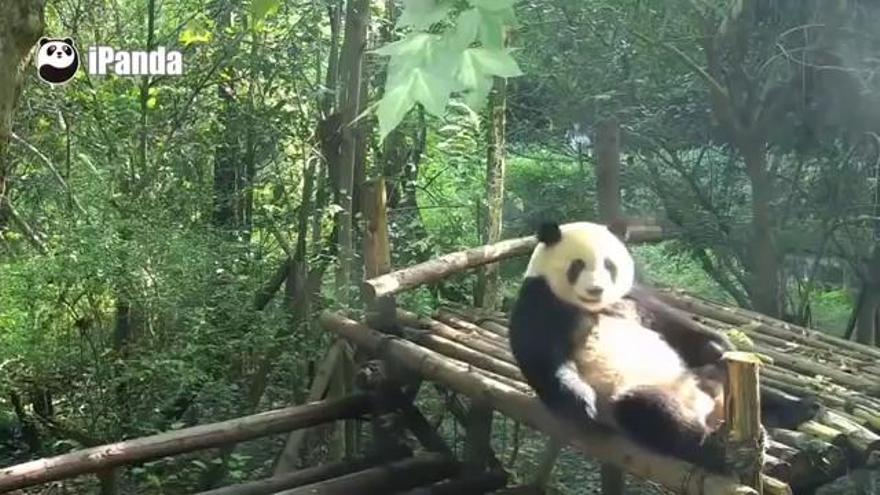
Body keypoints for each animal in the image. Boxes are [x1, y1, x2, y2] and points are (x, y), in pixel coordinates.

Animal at [508, 220, 819, 473]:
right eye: (578, 265)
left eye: (609, 265)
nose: (596, 289)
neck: (591, 306)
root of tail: (711, 410)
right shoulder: (540, 302)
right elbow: (541, 358)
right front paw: (581, 401)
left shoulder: (633, 298)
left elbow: (672, 324)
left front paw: (717, 343)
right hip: (639, 395)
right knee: (652, 413)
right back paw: (720, 451)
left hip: (703, 377)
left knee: (728, 375)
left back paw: (800, 408)